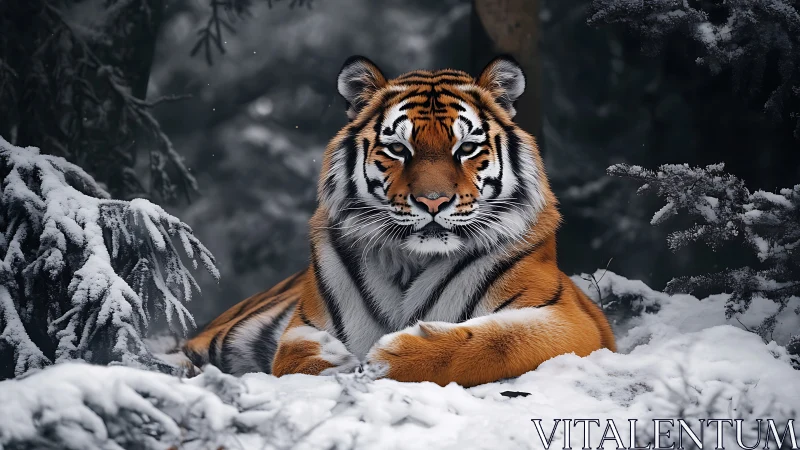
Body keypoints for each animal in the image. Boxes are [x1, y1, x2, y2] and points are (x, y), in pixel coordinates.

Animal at [180, 55, 616, 387]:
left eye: (466, 148)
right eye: (398, 149)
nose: (432, 201)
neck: (412, 261)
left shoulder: (572, 318)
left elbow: (505, 340)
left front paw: (394, 355)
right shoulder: (303, 322)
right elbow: (291, 355)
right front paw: (332, 359)